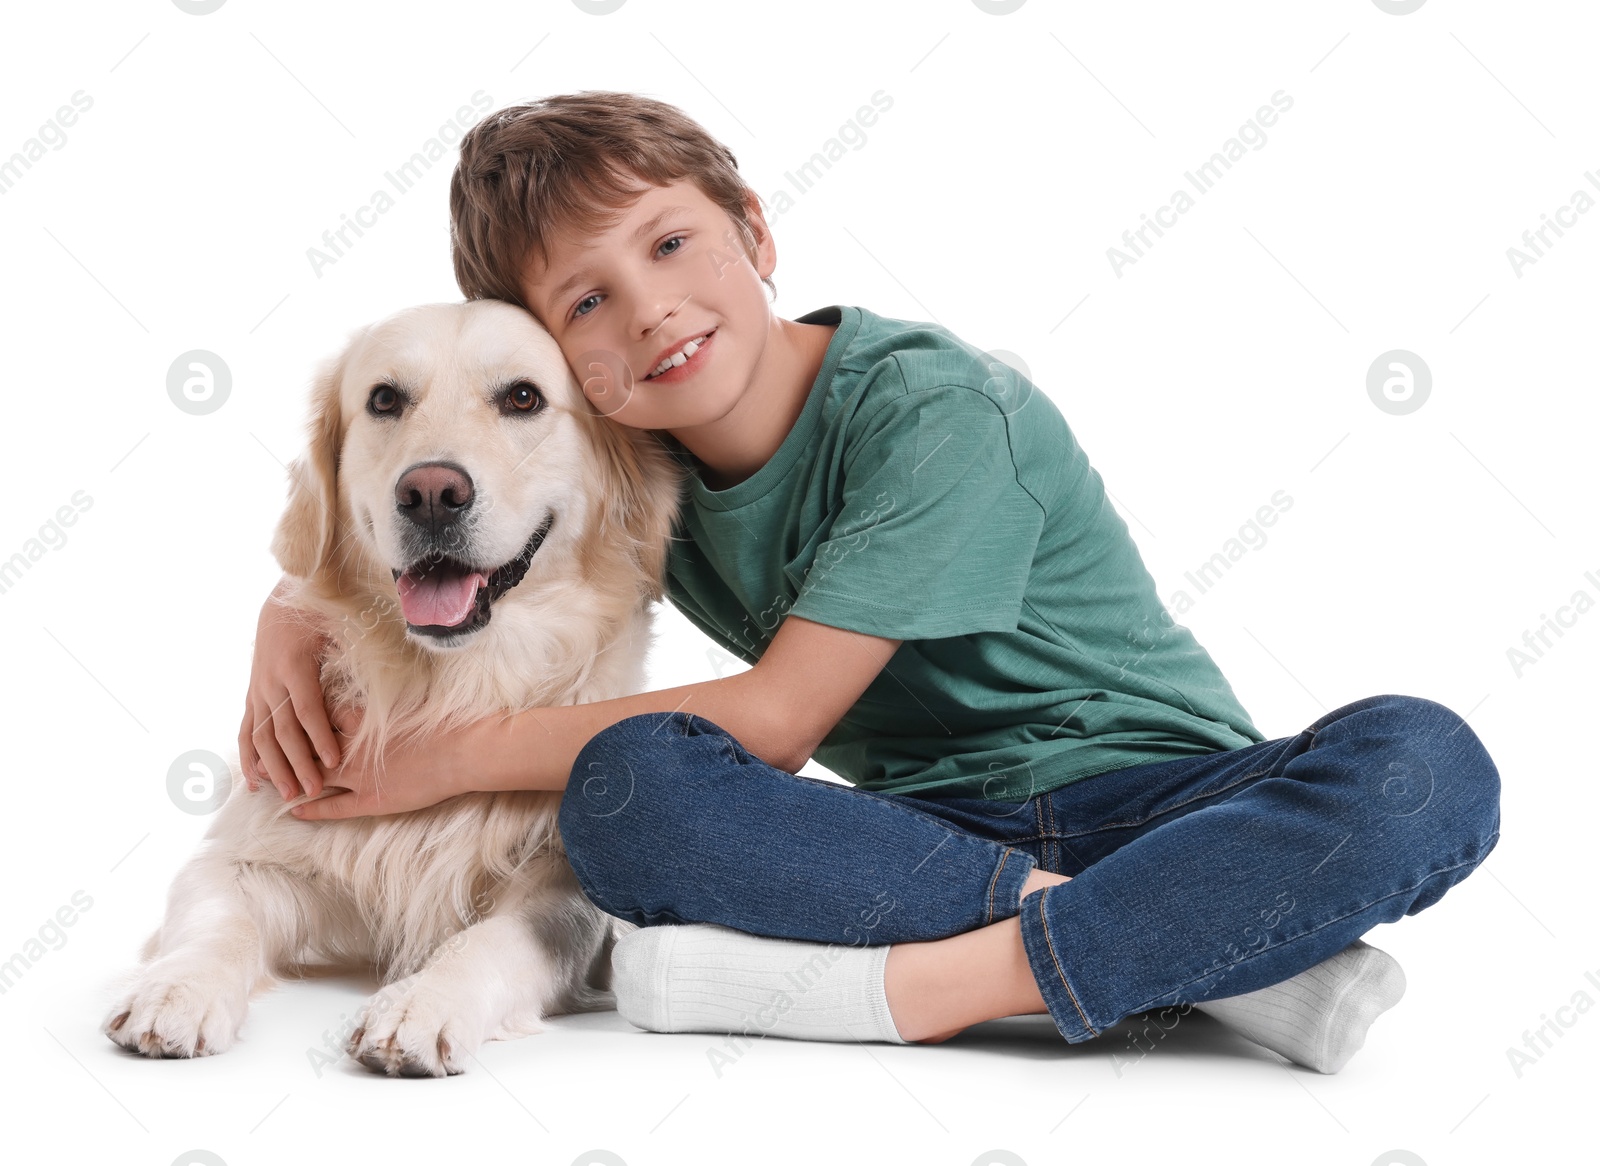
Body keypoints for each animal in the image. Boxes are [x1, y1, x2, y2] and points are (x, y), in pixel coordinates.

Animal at [95, 297, 681, 1074]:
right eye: (384, 400)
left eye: (524, 398)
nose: (431, 493)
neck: (446, 689)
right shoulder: (248, 845)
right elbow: (215, 919)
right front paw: (176, 990)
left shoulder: (562, 892)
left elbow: (491, 939)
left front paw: (420, 1005)